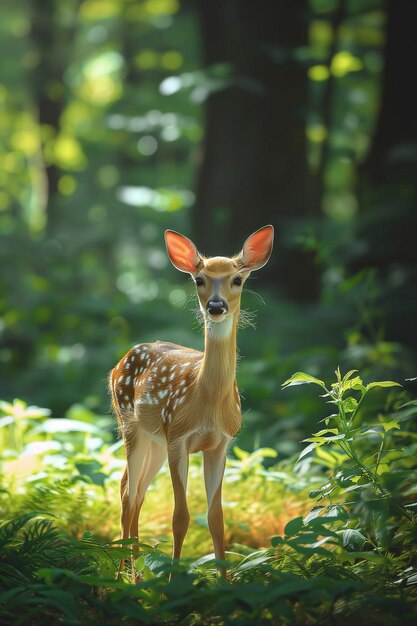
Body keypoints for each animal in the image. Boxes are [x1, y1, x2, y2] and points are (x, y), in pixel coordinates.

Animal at [109, 223, 274, 576]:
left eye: (237, 279)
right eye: (199, 279)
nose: (216, 306)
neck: (207, 402)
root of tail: (120, 361)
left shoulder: (221, 443)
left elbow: (216, 519)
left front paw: (224, 582)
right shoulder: (178, 437)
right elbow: (180, 517)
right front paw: (174, 583)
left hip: (155, 440)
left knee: (138, 489)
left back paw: (136, 572)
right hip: (130, 425)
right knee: (127, 490)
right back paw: (124, 574)